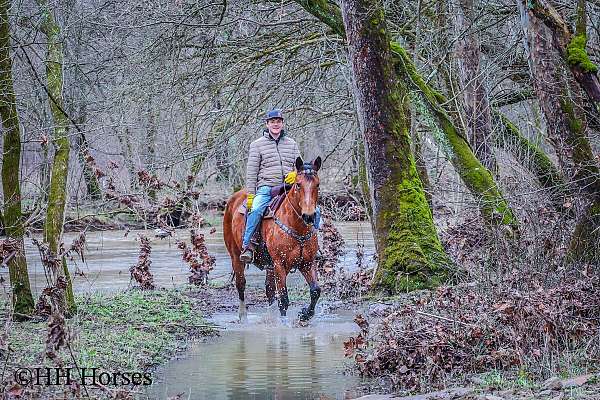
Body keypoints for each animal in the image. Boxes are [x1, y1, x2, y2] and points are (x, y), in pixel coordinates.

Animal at [223, 156, 322, 322]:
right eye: (298, 184)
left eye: (317, 184)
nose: (308, 216)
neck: (297, 228)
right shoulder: (279, 264)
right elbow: (283, 299)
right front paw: (284, 324)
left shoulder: (307, 263)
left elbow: (315, 291)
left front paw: (304, 315)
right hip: (236, 256)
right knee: (241, 284)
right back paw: (243, 316)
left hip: (270, 266)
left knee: (269, 290)